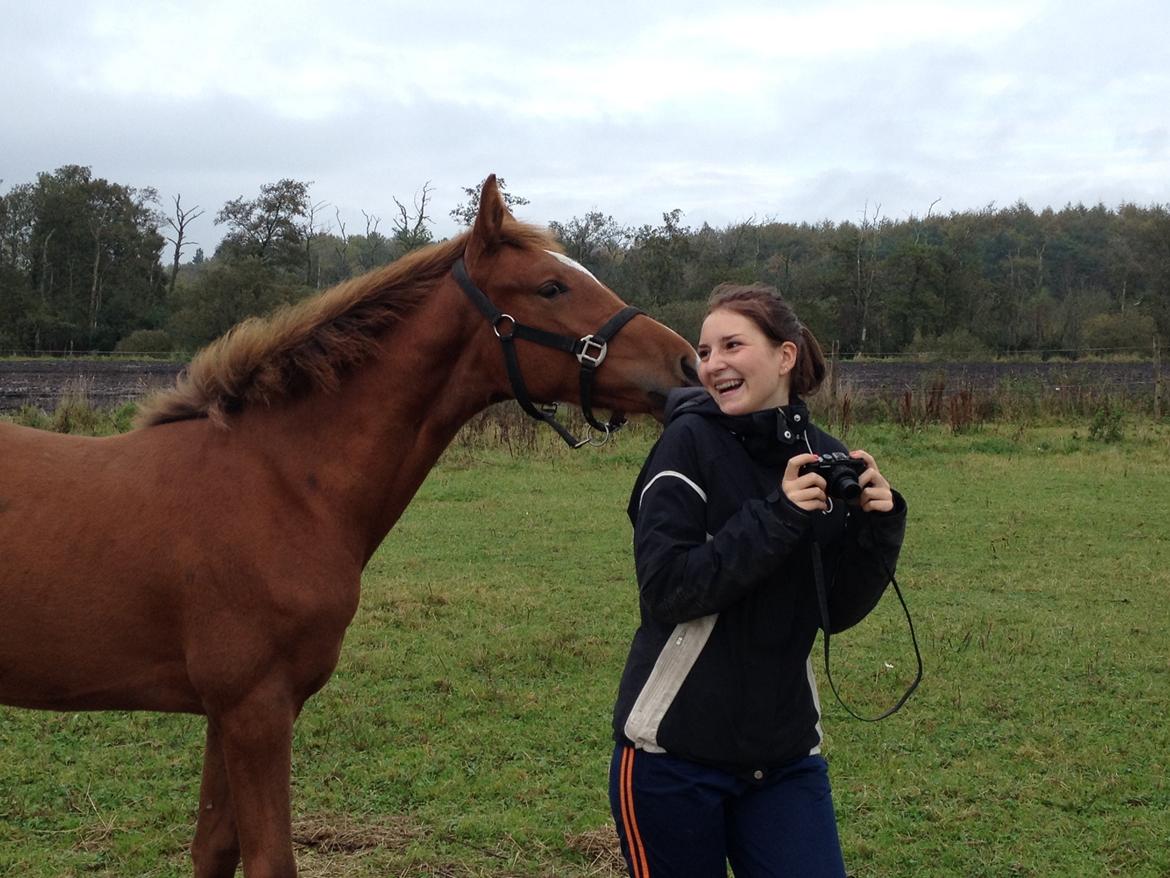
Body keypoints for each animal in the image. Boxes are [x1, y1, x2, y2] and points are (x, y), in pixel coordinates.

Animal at [0, 175, 692, 875]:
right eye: (551, 287)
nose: (687, 363)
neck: (280, 481)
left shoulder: (226, 712)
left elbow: (214, 845)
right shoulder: (255, 706)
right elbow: (270, 857)